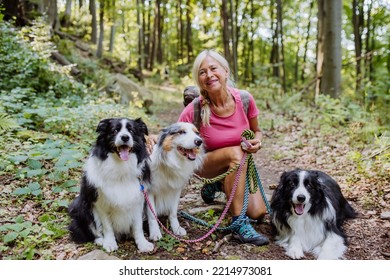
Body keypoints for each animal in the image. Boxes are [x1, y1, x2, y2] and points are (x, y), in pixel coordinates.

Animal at [67, 117, 154, 253]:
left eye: (131, 131)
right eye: (115, 130)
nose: (125, 137)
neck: (120, 168)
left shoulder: (137, 200)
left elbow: (138, 225)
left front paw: (142, 243)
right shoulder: (100, 203)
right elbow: (107, 226)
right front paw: (109, 243)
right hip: (82, 209)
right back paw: (100, 240)